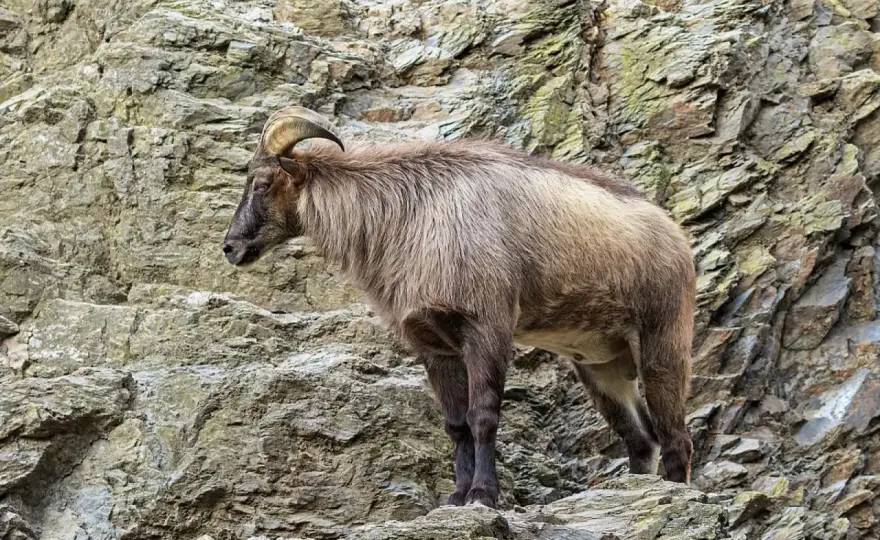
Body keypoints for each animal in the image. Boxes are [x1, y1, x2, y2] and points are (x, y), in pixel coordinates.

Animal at [222, 106, 696, 508]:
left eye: (262, 183)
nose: (231, 247)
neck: (413, 213)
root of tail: (675, 236)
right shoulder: (432, 344)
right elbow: (456, 425)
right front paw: (455, 496)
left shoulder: (487, 325)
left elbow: (482, 414)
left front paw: (483, 495)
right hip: (600, 365)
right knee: (641, 439)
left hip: (662, 339)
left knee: (675, 436)